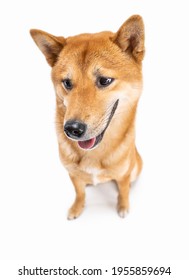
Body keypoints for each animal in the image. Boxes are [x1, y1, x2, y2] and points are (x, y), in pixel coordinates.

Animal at [29, 15, 145, 220]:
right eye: (67, 83)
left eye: (105, 80)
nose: (72, 129)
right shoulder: (73, 175)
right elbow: (80, 192)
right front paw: (77, 207)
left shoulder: (123, 174)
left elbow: (123, 190)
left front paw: (123, 206)